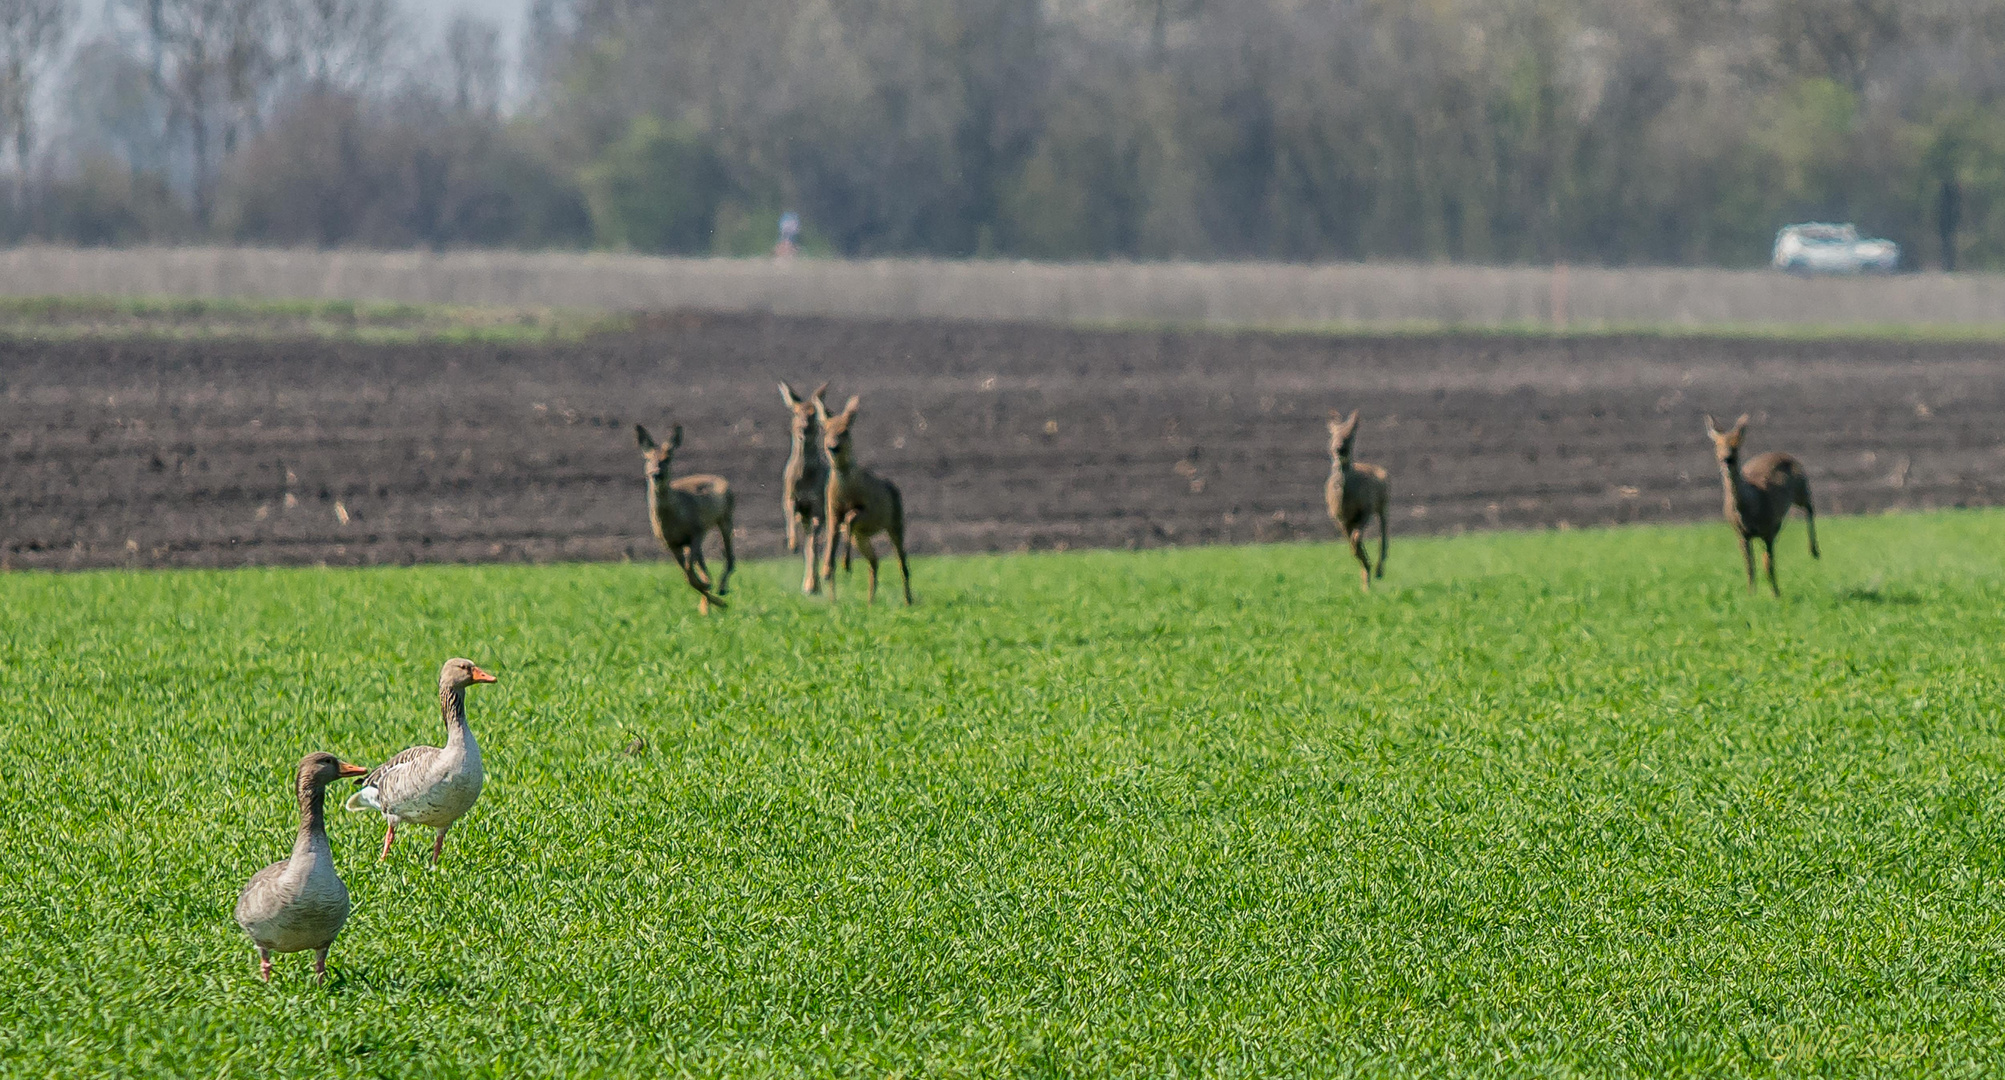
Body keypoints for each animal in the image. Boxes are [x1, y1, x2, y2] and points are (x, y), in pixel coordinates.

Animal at [633, 422, 737, 613]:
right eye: (648, 458)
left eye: (667, 458)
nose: (656, 474)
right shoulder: (671, 543)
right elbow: (687, 576)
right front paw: (707, 591)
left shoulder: (696, 531)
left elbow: (689, 570)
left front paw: (715, 595)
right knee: (702, 565)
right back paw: (707, 601)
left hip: (725, 517)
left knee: (729, 557)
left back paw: (721, 588)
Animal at [769, 380, 826, 597]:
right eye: (795, 412)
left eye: (814, 413)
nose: (804, 429)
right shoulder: (789, 496)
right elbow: (790, 517)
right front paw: (791, 544)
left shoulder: (818, 504)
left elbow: (813, 544)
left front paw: (812, 584)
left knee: (814, 546)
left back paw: (812, 585)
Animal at [818, 392, 914, 605]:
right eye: (824, 430)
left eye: (845, 430)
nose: (832, 447)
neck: (846, 492)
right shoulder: (832, 511)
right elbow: (831, 542)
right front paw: (827, 578)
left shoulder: (869, 510)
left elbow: (851, 516)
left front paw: (846, 564)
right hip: (861, 537)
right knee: (874, 560)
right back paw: (870, 601)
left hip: (895, 523)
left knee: (902, 562)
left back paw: (908, 600)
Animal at [1323, 410, 1387, 593]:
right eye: (1332, 435)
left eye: (1350, 435)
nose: (1339, 449)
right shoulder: (1339, 518)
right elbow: (1352, 543)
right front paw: (1365, 569)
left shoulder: (1365, 508)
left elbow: (1356, 538)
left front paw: (1369, 568)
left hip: (1382, 503)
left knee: (1383, 533)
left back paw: (1379, 570)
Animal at [1708, 414, 1820, 601]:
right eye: (1717, 445)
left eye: (1736, 445)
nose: (1727, 459)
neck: (1750, 508)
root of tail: (1781, 453)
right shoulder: (1741, 534)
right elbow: (1749, 566)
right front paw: (1750, 594)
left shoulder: (1769, 530)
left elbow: (1769, 565)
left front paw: (1776, 594)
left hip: (1801, 487)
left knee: (1810, 507)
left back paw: (1814, 551)